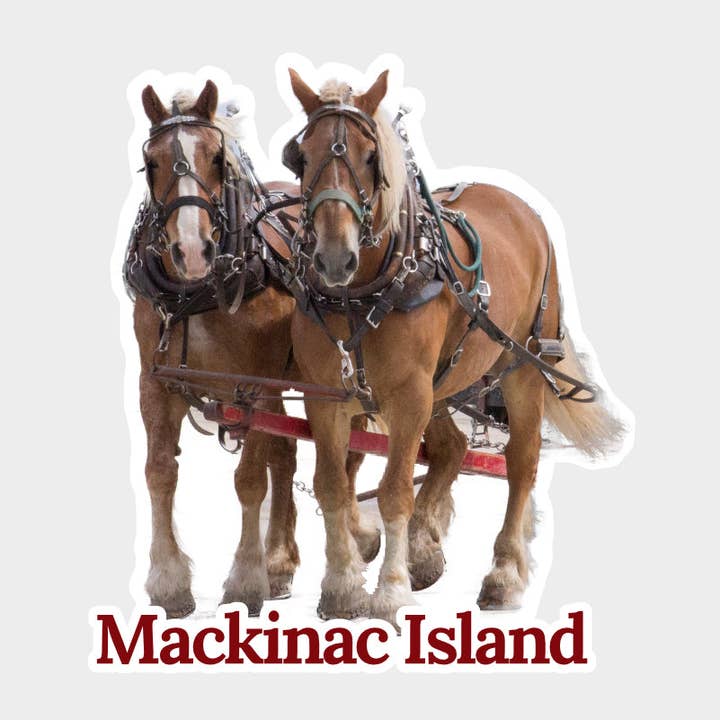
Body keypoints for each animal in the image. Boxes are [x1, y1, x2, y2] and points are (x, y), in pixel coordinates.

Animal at [125, 80, 380, 618]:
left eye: (217, 158)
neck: (199, 292)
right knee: (286, 453)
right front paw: (169, 582)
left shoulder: (254, 385)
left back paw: (351, 537)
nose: (192, 250)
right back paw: (280, 562)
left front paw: (245, 579)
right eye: (151, 163)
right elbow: (159, 472)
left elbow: (248, 480)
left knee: (340, 452)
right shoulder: (154, 384)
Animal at [282, 69, 622, 624]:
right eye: (302, 156)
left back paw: (503, 574)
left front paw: (389, 592)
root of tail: (520, 207)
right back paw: (424, 551)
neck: (361, 292)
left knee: (521, 462)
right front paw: (342, 586)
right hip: (445, 382)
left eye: (371, 158)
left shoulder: (409, 395)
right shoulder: (326, 395)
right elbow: (332, 484)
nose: (334, 258)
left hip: (521, 366)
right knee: (452, 449)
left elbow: (396, 490)